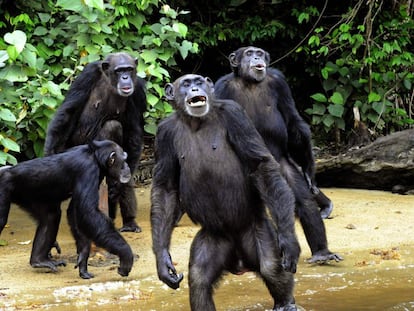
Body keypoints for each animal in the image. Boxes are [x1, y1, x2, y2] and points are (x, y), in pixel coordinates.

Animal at [0, 140, 133, 280]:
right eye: (124, 160)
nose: (127, 166)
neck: (95, 157)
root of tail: (5, 170)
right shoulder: (88, 171)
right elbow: (88, 213)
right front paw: (126, 255)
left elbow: (75, 211)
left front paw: (83, 259)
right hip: (4, 188)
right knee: (2, 221)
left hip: (31, 197)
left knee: (51, 216)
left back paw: (39, 260)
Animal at [44, 51, 146, 234]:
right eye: (119, 71)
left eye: (129, 69)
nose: (125, 77)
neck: (110, 82)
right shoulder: (87, 75)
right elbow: (68, 111)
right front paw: (49, 153)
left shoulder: (138, 91)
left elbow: (133, 132)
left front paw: (120, 186)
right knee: (111, 126)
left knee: (114, 129)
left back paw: (129, 222)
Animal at [152, 75, 300, 311]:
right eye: (186, 84)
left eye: (199, 81)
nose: (195, 89)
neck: (195, 122)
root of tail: (239, 262)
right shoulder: (163, 134)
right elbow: (165, 189)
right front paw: (163, 261)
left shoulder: (236, 115)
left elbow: (260, 165)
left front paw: (289, 241)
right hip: (214, 238)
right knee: (199, 279)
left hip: (256, 229)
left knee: (270, 266)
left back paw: (285, 303)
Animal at [215, 47, 342, 266]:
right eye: (248, 53)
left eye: (258, 52)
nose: (256, 57)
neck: (250, 82)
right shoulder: (221, 89)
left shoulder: (280, 82)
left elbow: (292, 122)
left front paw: (309, 169)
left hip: (281, 167)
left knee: (303, 201)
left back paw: (321, 252)